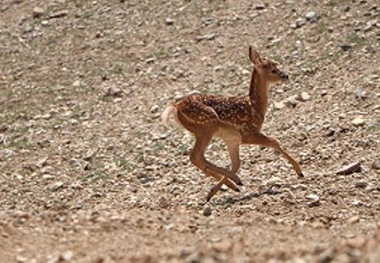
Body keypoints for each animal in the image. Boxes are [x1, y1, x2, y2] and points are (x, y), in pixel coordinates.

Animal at [162, 46, 304, 201]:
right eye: (273, 70)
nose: (286, 76)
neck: (255, 107)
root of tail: (176, 106)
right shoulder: (248, 133)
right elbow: (274, 141)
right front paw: (299, 171)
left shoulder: (232, 139)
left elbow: (236, 163)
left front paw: (216, 190)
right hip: (207, 126)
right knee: (195, 156)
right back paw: (235, 181)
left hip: (202, 130)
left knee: (199, 158)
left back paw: (228, 187)